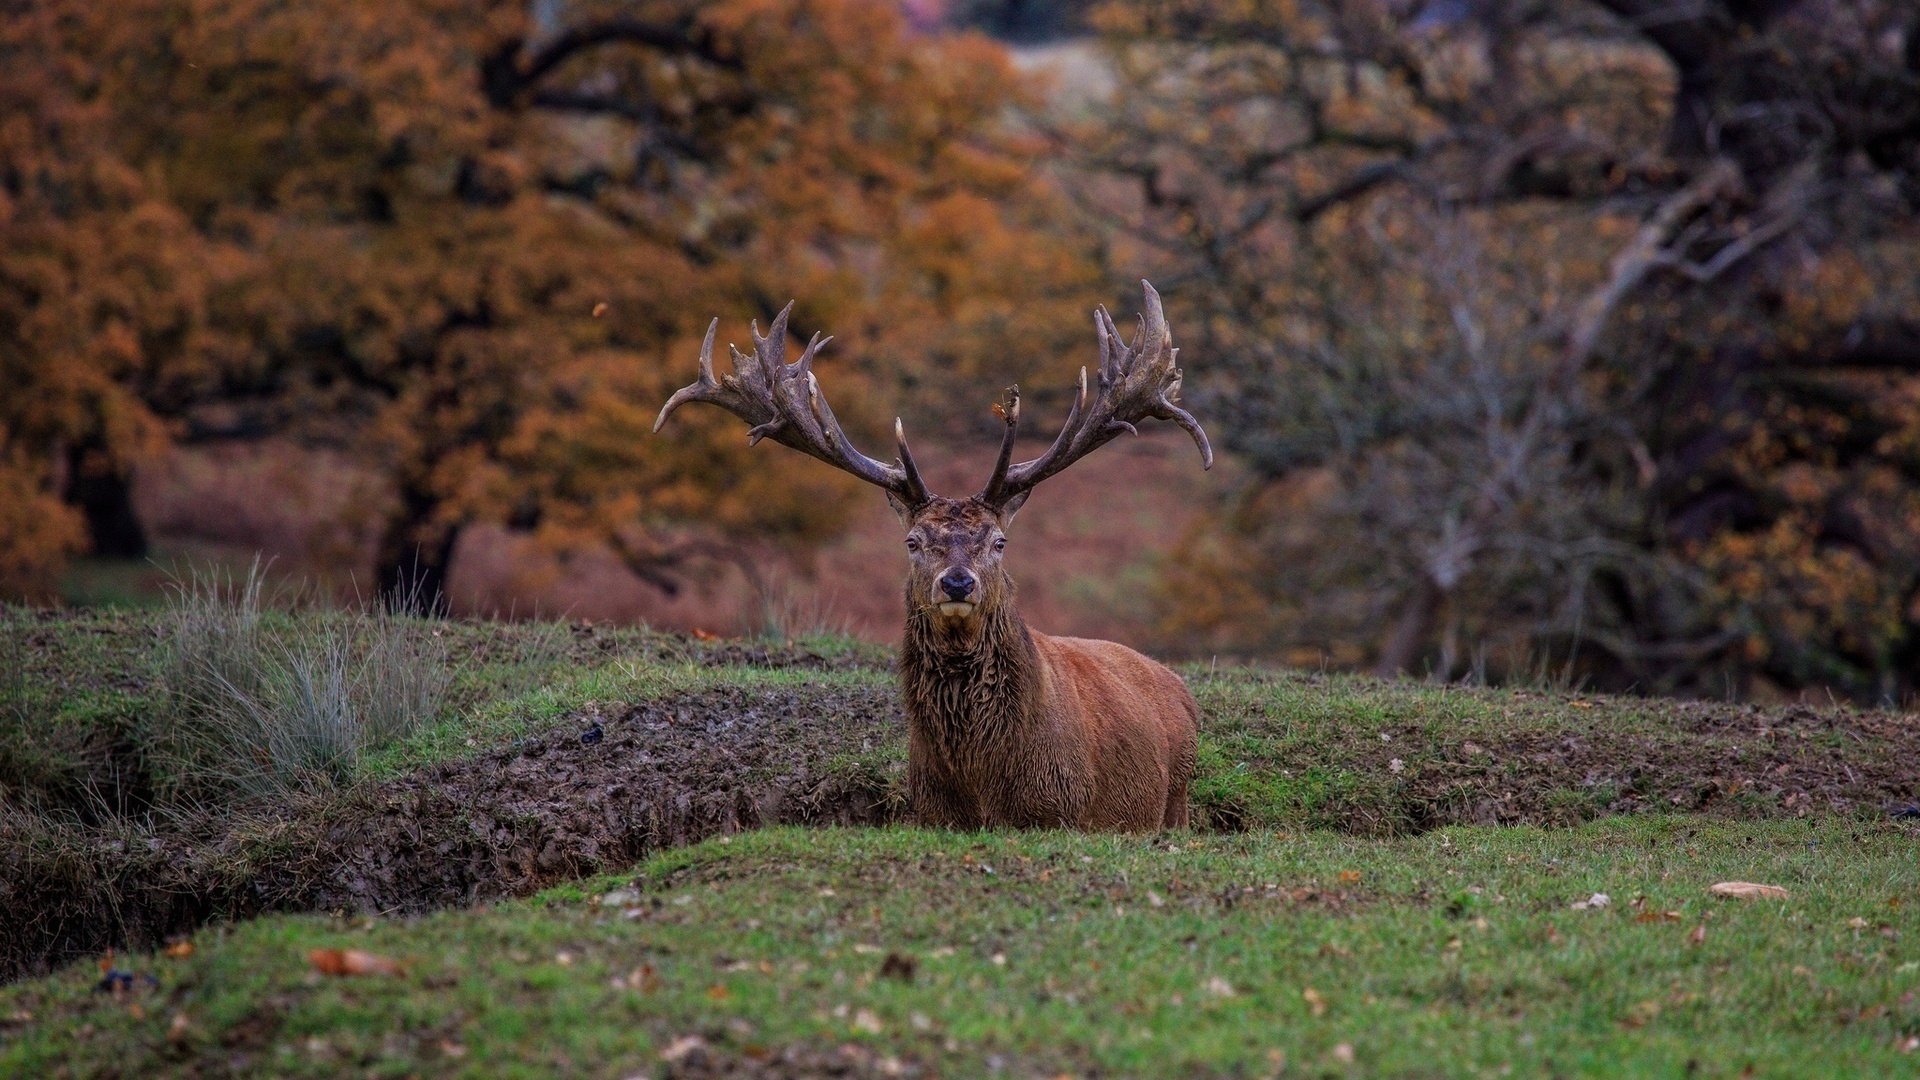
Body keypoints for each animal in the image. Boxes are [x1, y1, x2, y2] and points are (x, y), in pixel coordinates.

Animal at [652, 282, 1205, 826]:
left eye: (999, 542)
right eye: (913, 541)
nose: (958, 582)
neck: (982, 786)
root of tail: (1179, 686)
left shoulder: (1066, 814)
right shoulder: (932, 811)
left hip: (1176, 796)